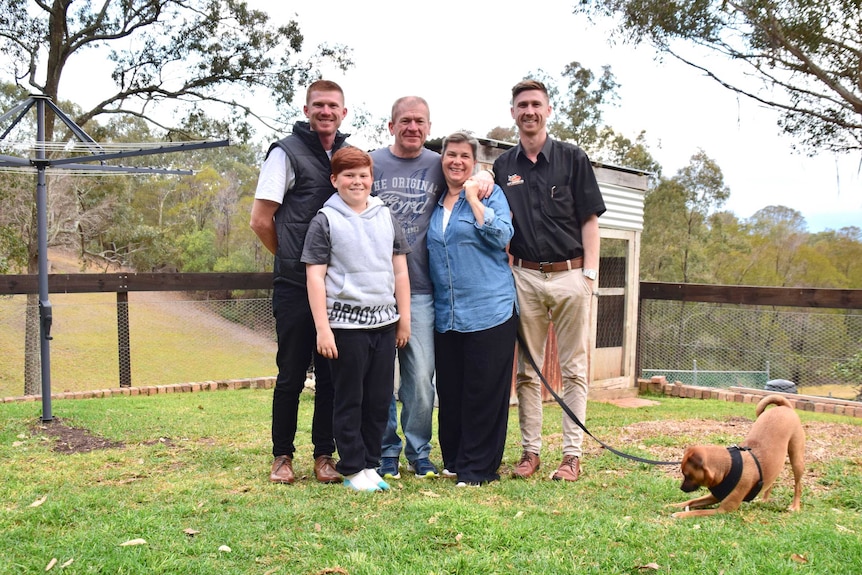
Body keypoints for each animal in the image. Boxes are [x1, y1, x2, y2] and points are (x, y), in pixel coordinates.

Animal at [672, 394, 808, 520]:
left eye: (687, 475)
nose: (681, 488)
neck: (728, 468)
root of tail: (784, 407)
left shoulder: (724, 509)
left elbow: (697, 511)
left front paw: (680, 514)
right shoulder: (714, 496)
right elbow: (691, 501)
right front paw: (673, 505)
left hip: (796, 459)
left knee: (798, 485)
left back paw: (795, 506)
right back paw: (764, 499)